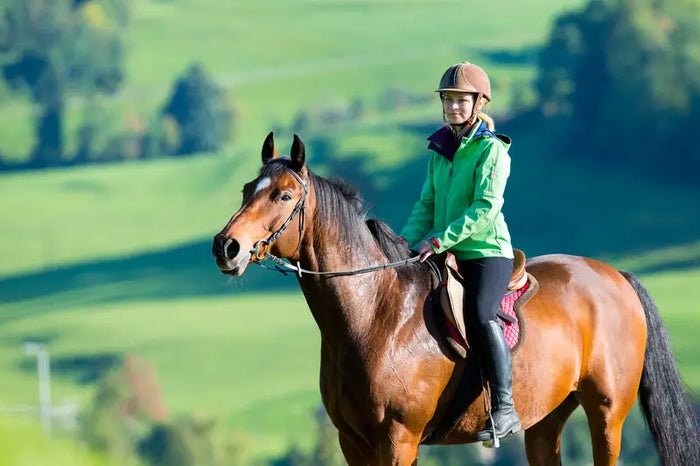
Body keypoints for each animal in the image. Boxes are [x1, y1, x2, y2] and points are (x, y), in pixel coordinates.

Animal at [212, 133, 699, 465]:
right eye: (246, 190)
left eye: (284, 195)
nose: (226, 247)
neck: (376, 314)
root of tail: (616, 276)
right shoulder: (353, 442)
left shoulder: (398, 440)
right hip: (546, 419)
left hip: (607, 413)